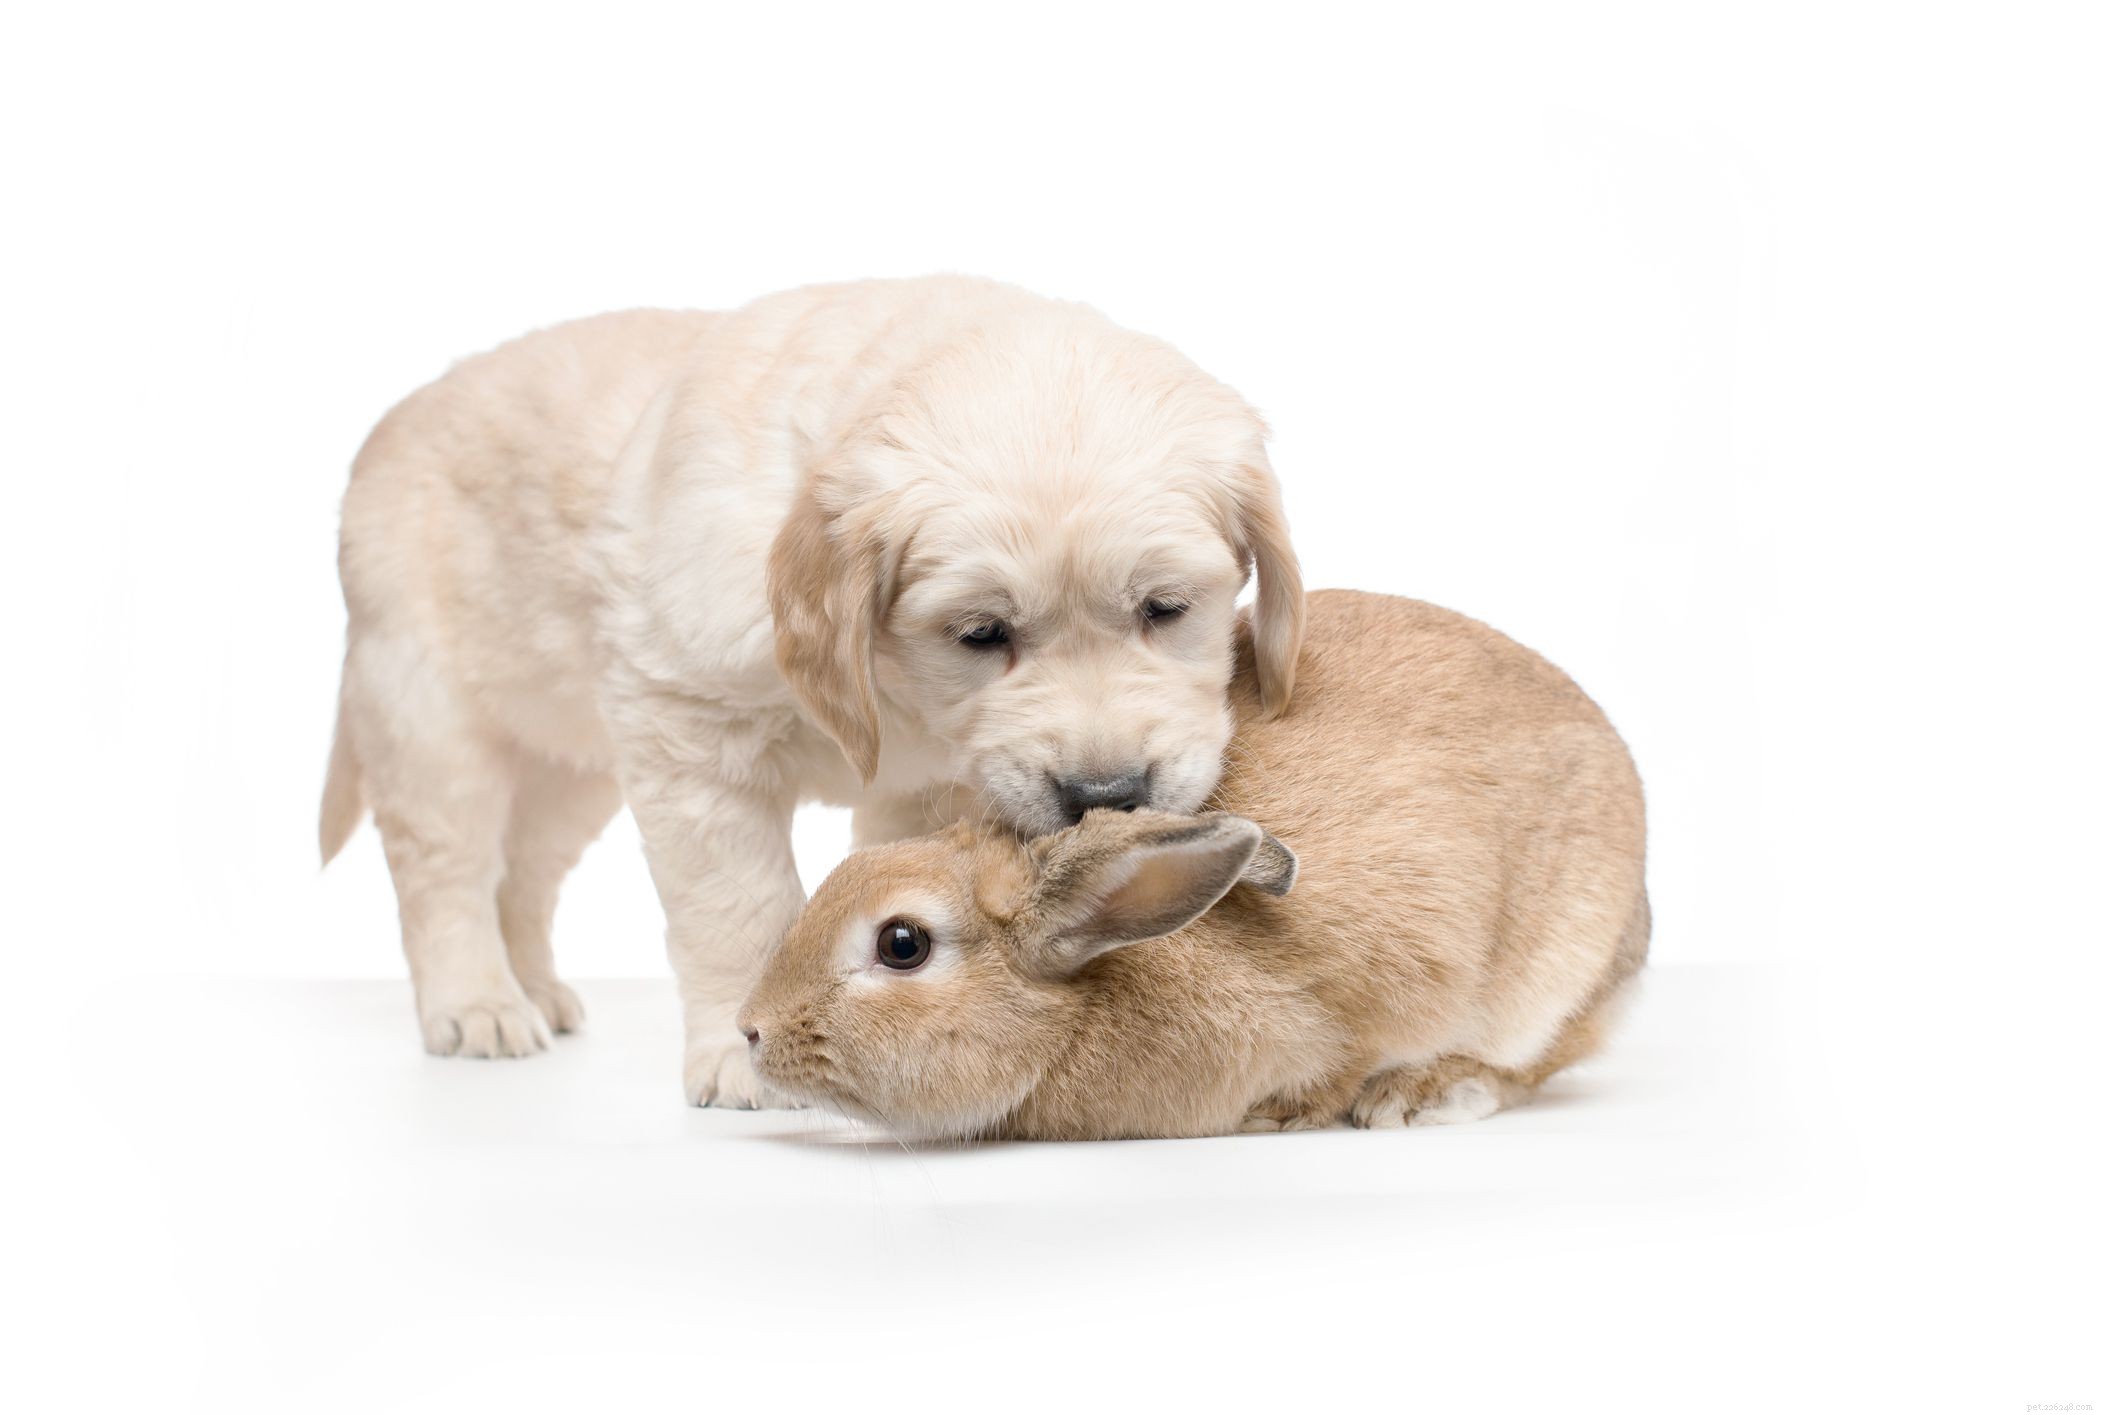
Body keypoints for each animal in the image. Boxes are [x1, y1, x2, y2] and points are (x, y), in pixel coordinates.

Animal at [738, 589, 1649, 1140]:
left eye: (902, 943)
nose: (751, 1029)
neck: (1089, 986)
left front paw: (1287, 1114)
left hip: (1554, 972)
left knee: (1536, 1058)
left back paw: (1427, 1092)